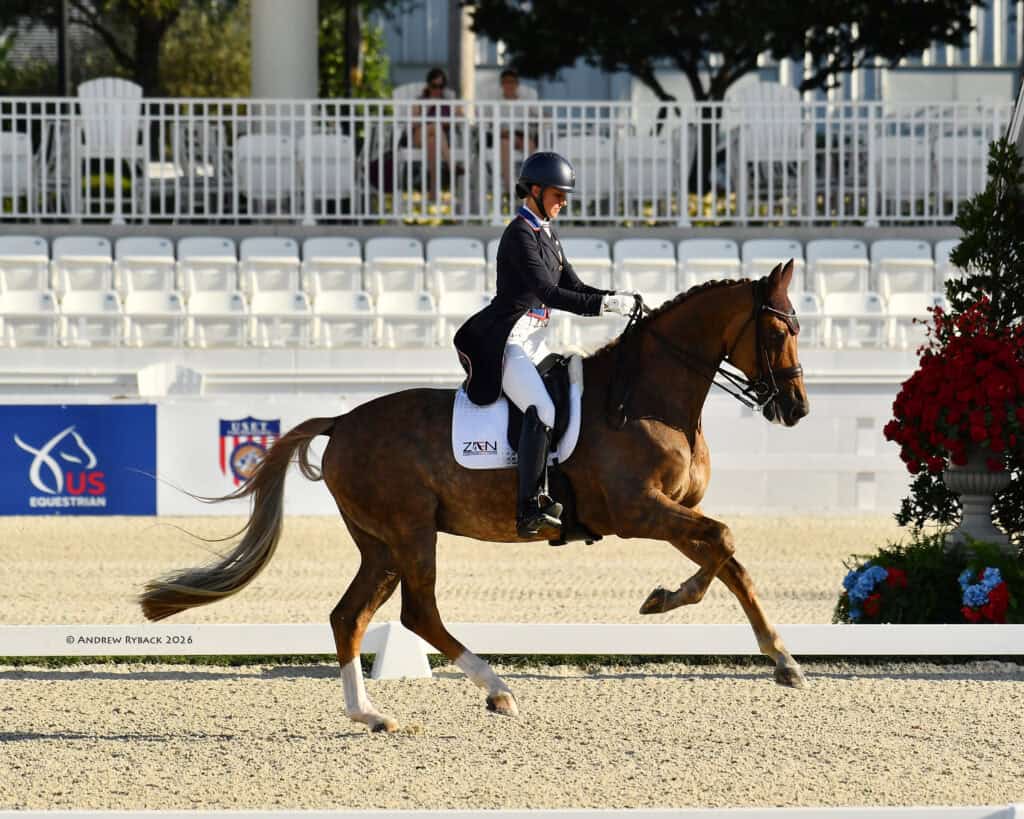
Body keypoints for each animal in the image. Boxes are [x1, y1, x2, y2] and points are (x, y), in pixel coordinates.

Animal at [141, 260, 809, 733]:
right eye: (779, 328)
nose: (797, 410)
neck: (647, 398)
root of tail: (343, 421)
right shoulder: (638, 511)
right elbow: (723, 544)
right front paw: (664, 599)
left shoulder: (676, 512)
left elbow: (730, 561)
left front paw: (782, 660)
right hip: (410, 532)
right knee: (417, 613)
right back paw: (497, 689)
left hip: (381, 545)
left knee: (350, 615)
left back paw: (371, 714)